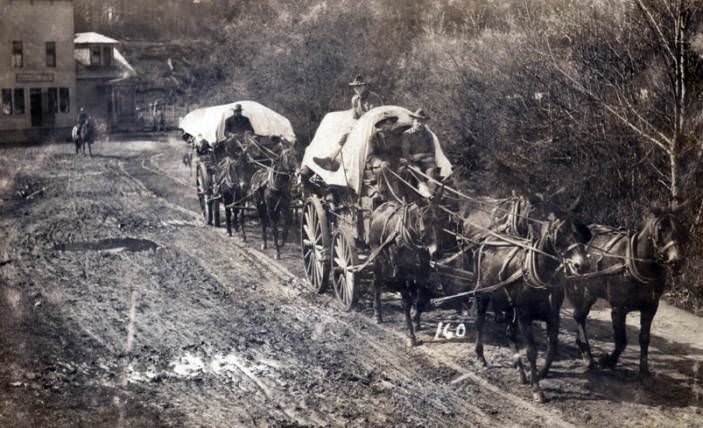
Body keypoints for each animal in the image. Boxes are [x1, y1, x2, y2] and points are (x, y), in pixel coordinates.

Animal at [470, 216, 592, 402]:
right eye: (559, 233)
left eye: (580, 233)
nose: (582, 264)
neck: (543, 278)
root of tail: (485, 240)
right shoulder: (524, 316)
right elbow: (531, 351)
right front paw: (537, 390)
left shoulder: (553, 316)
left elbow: (552, 347)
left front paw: (542, 373)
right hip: (483, 294)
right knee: (480, 322)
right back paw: (481, 356)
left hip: (509, 306)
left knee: (509, 334)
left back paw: (520, 370)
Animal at [564, 209, 684, 376]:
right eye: (661, 229)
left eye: (681, 229)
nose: (677, 261)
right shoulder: (618, 309)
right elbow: (621, 341)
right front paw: (608, 361)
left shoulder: (651, 307)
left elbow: (644, 338)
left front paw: (644, 370)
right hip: (578, 288)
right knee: (579, 317)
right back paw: (588, 356)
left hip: (591, 291)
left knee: (580, 316)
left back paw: (582, 348)